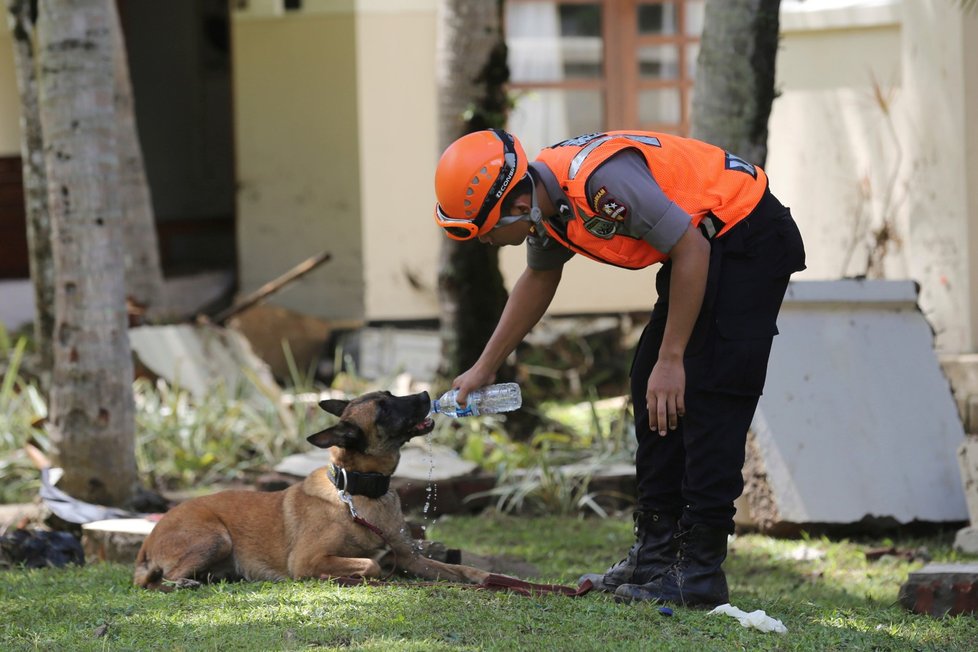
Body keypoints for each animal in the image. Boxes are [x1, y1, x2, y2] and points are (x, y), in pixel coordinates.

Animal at [133, 390, 492, 592]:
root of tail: (150, 537)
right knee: (152, 581)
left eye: (390, 395)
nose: (427, 393)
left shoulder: (410, 558)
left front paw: (483, 575)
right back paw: (182, 582)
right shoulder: (308, 560)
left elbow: (458, 569)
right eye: (384, 409)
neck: (359, 493)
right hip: (216, 538)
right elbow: (371, 563)